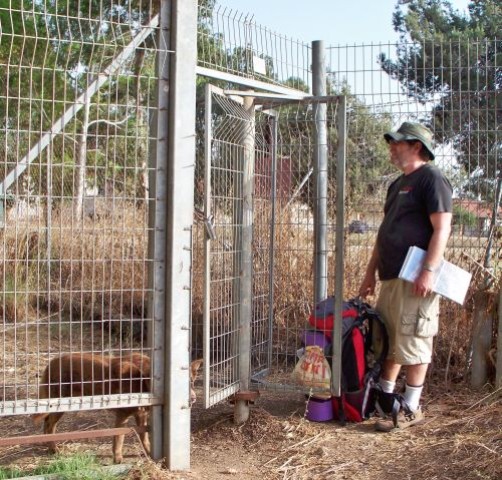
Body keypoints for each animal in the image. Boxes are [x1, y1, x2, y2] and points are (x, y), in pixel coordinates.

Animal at [33, 354, 203, 464]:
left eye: (191, 382)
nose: (193, 398)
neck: (141, 379)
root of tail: (53, 361)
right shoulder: (122, 415)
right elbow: (119, 437)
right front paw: (118, 458)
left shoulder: (141, 415)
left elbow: (144, 436)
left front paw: (150, 453)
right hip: (60, 404)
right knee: (49, 424)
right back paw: (54, 449)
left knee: (47, 423)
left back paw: (48, 446)